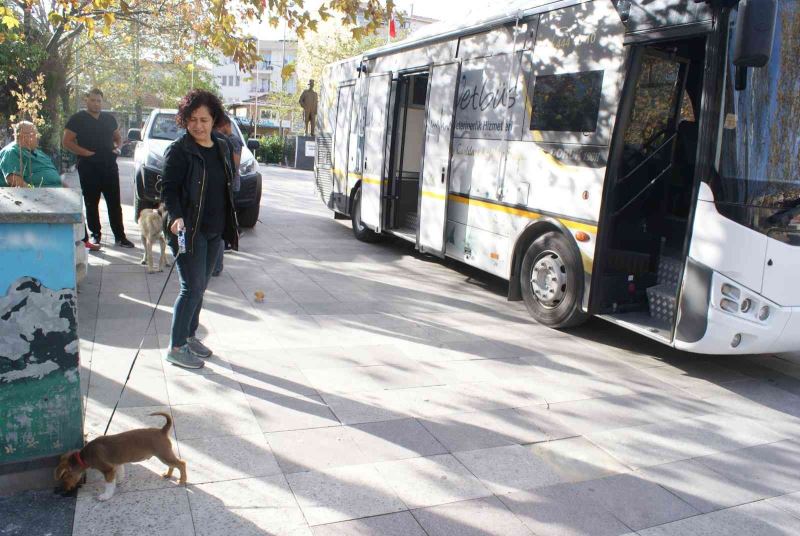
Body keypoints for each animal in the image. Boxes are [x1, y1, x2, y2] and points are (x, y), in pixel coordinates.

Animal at [54, 412, 186, 500]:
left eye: (64, 478)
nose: (63, 490)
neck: (84, 457)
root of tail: (162, 430)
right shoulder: (116, 464)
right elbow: (120, 474)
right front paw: (119, 481)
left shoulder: (108, 470)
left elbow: (108, 485)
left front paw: (105, 496)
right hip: (165, 456)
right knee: (173, 465)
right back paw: (168, 475)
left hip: (164, 455)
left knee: (181, 464)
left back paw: (182, 481)